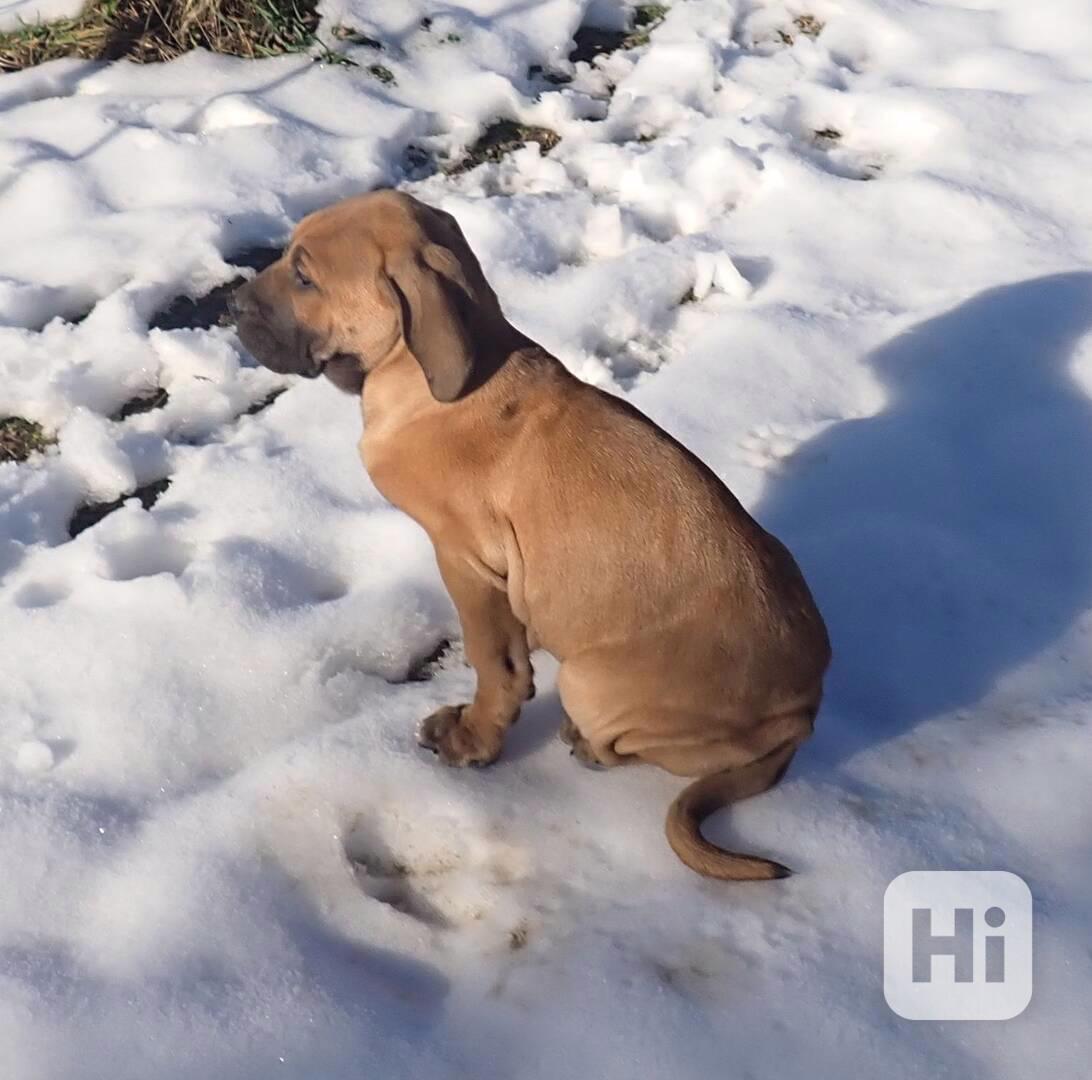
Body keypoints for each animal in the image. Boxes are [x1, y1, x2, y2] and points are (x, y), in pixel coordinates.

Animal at [230, 192, 825, 877]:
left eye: (304, 276)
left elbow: (496, 662)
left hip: (588, 680)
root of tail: (803, 716)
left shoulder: (466, 561)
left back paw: (586, 744)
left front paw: (471, 738)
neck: (427, 376)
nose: (231, 307)